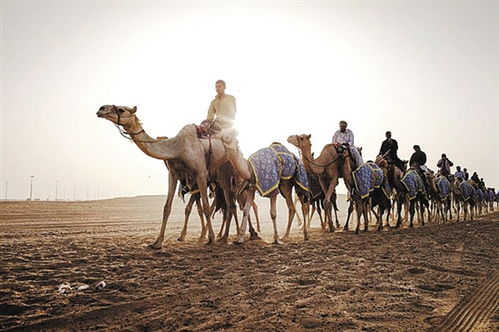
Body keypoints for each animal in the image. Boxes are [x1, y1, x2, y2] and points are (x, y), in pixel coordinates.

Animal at [96, 105, 250, 248]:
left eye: (121, 109)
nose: (101, 109)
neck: (177, 148)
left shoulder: (200, 173)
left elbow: (206, 207)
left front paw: (210, 239)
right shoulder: (174, 174)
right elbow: (167, 207)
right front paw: (157, 242)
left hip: (227, 173)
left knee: (233, 204)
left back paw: (233, 236)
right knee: (230, 206)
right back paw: (227, 237)